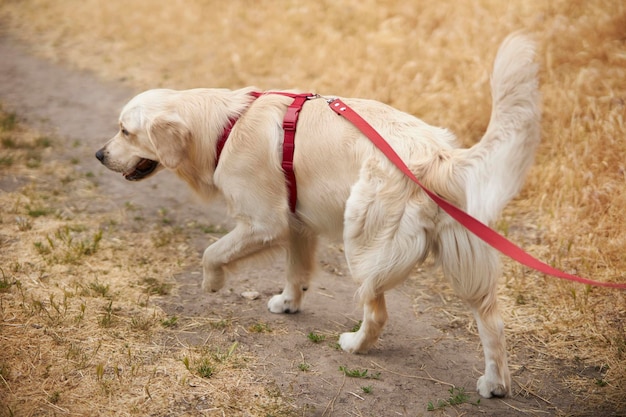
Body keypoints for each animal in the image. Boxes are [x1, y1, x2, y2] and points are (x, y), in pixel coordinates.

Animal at [96, 33, 536, 396]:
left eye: (125, 131)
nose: (99, 155)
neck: (225, 125)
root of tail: (441, 156)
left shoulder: (265, 222)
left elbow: (212, 252)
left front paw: (212, 283)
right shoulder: (297, 223)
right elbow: (296, 271)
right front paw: (289, 303)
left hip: (362, 242)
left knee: (376, 311)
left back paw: (355, 344)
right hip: (466, 261)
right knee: (492, 320)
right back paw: (495, 384)